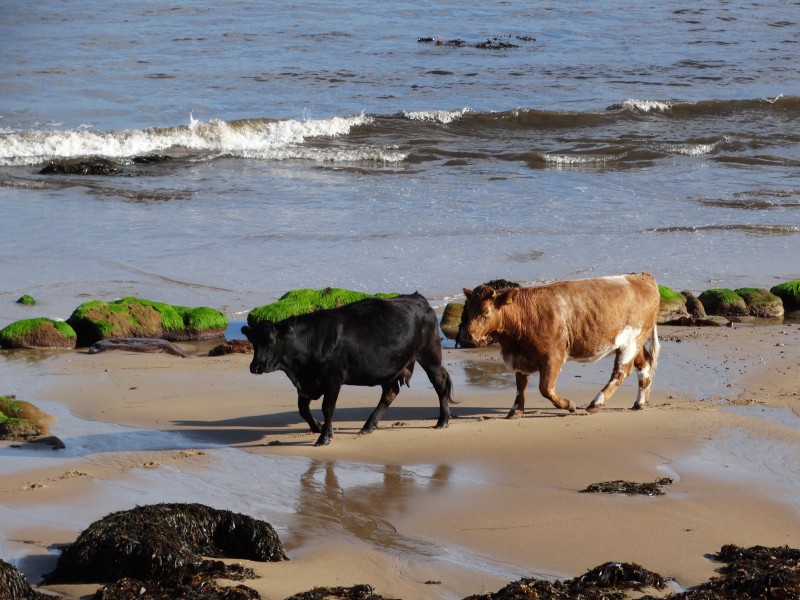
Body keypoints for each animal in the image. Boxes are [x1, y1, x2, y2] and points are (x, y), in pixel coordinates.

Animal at [241, 290, 454, 446]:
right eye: (253, 342)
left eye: (270, 342)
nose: (256, 366)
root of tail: (417, 298)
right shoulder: (306, 383)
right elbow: (302, 409)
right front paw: (318, 427)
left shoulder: (334, 378)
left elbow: (327, 407)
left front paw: (324, 437)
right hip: (392, 367)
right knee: (390, 392)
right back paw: (369, 425)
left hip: (430, 355)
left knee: (440, 383)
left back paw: (442, 421)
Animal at [460, 274, 660, 418]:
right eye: (469, 309)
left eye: (485, 312)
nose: (468, 335)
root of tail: (641, 277)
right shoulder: (520, 357)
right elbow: (520, 385)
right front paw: (515, 411)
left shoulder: (553, 356)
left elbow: (545, 389)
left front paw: (569, 405)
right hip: (635, 342)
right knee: (644, 365)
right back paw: (640, 403)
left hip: (630, 343)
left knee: (621, 372)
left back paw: (596, 404)